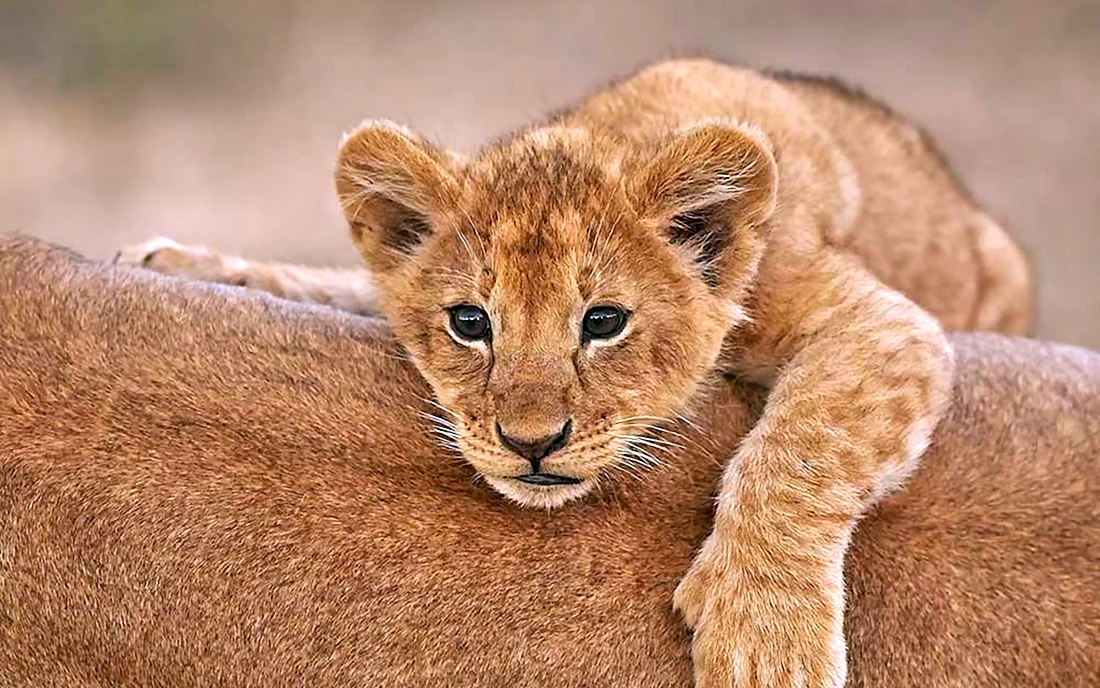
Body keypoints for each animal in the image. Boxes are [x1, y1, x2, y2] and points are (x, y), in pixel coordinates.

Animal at [116, 59, 1033, 687]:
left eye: (603, 323)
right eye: (470, 323)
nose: (531, 443)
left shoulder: (883, 322)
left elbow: (804, 448)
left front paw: (763, 637)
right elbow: (340, 285)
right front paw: (191, 264)